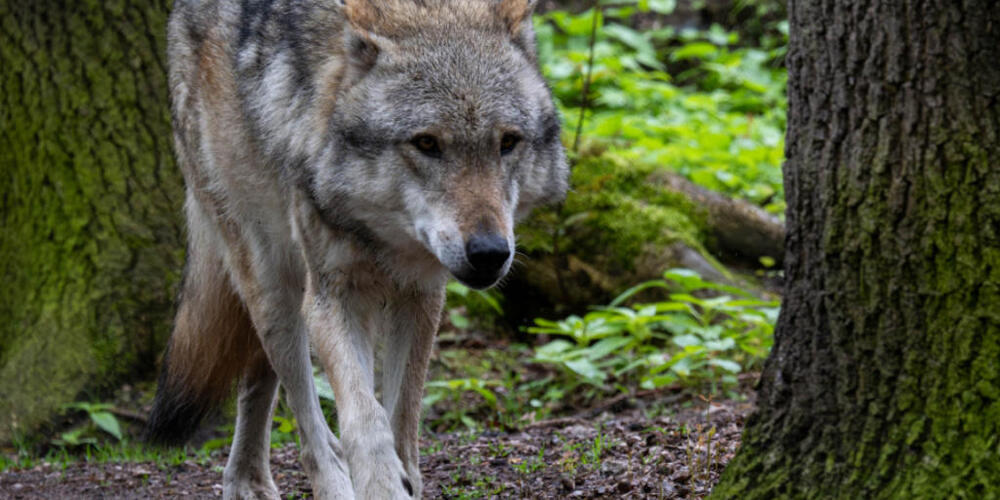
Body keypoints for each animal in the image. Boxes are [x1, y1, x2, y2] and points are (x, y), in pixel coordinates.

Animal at [145, 0, 567, 498]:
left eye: (508, 142)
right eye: (426, 143)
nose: (489, 252)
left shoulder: (421, 295)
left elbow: (402, 419)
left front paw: (406, 479)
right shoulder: (333, 295)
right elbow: (364, 419)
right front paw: (381, 484)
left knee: (259, 382)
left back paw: (249, 481)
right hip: (274, 287)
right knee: (309, 422)